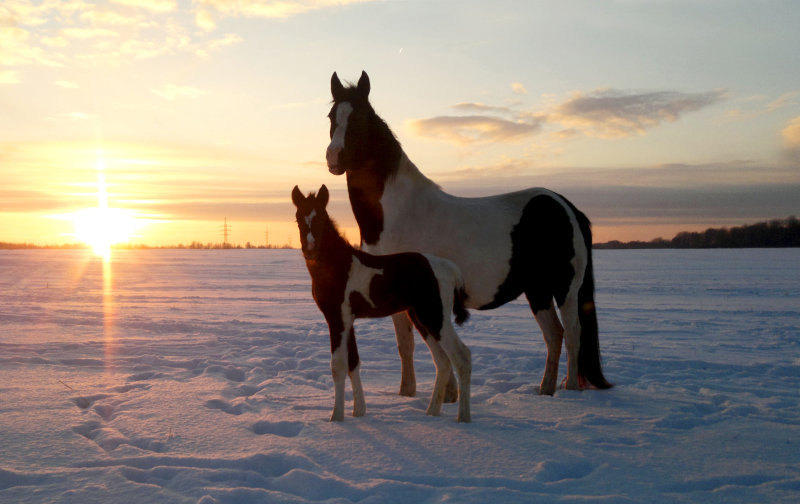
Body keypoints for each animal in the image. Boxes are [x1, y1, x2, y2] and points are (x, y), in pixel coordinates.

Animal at [292, 185, 468, 422]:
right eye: (298, 218)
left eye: (321, 217)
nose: (309, 248)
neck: (339, 266)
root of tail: (450, 268)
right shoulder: (348, 321)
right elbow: (353, 362)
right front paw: (359, 411)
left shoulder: (337, 319)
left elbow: (338, 365)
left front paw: (337, 417)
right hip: (421, 318)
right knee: (442, 361)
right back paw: (432, 412)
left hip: (435, 317)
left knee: (461, 356)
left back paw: (463, 418)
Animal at [324, 72, 612, 398]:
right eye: (331, 117)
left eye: (360, 117)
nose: (334, 158)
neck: (399, 212)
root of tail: (566, 206)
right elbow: (406, 345)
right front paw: (409, 394)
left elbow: (434, 347)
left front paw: (446, 395)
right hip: (537, 290)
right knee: (554, 335)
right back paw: (545, 391)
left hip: (565, 289)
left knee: (573, 334)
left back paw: (571, 390)